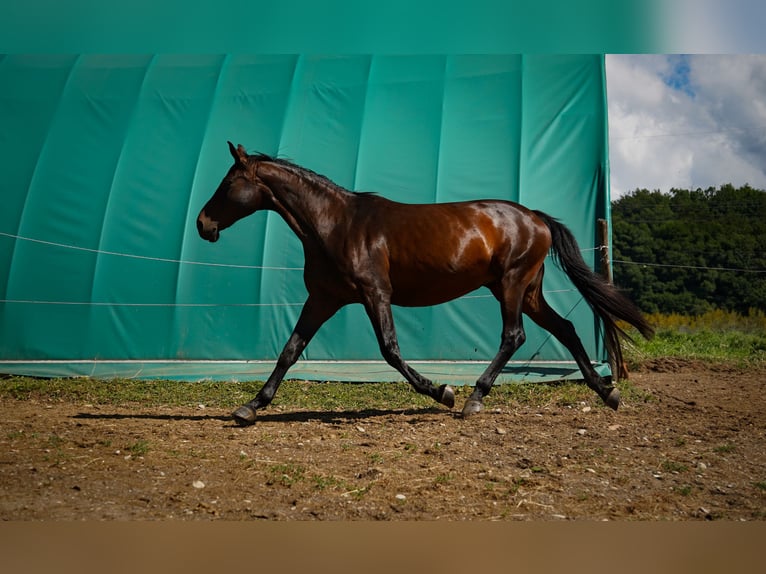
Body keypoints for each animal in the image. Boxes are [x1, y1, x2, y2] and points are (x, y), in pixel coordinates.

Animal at [197, 142, 653, 426]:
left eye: (227, 183)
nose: (203, 224)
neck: (335, 224)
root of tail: (536, 217)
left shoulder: (375, 294)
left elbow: (390, 350)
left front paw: (442, 391)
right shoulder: (324, 298)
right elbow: (290, 350)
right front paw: (251, 407)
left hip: (511, 285)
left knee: (514, 336)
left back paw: (473, 399)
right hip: (527, 291)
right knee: (567, 329)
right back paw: (606, 392)